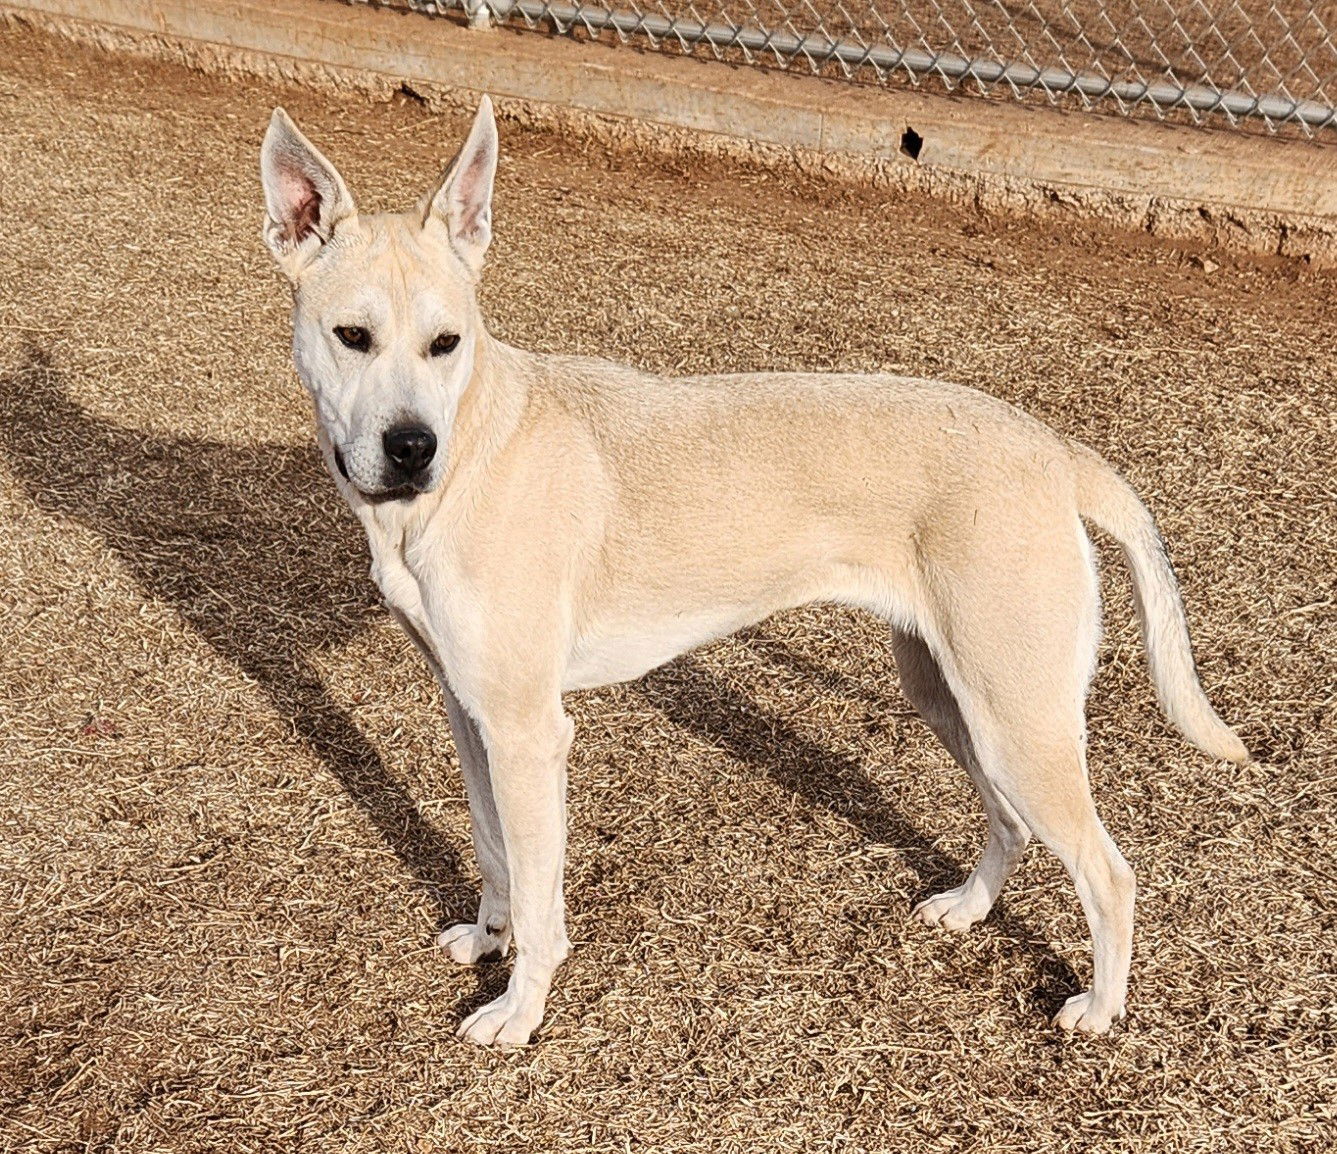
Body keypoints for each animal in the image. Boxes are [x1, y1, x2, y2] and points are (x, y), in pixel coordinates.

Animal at [258, 98, 1240, 1048]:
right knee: (1009, 823)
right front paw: (487, 937)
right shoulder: (472, 712)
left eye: (446, 342)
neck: (473, 447)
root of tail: (1056, 453)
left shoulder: (530, 732)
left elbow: (542, 902)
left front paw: (519, 1012)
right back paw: (966, 908)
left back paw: (1100, 1010)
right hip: (948, 695)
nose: (410, 448)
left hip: (1017, 717)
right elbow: (494, 849)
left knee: (1108, 872)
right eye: (352, 336)